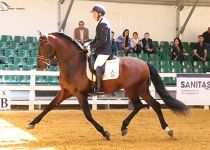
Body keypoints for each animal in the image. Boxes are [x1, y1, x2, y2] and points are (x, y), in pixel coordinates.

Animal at [27, 32, 187, 140]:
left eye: (44, 46)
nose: (40, 66)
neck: (74, 64)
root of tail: (144, 62)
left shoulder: (80, 94)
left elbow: (88, 115)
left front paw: (105, 132)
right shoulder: (65, 92)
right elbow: (49, 106)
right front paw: (32, 123)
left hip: (131, 90)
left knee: (139, 106)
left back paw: (124, 127)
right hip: (142, 90)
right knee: (154, 105)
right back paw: (167, 129)